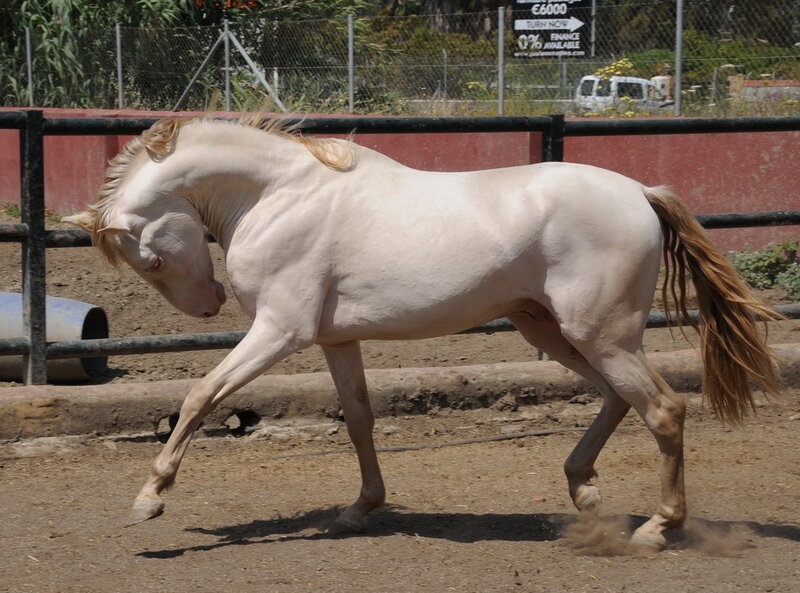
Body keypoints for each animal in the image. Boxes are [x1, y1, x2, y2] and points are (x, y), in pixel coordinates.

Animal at [64, 117, 781, 550]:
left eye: (151, 260)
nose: (210, 306)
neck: (280, 195)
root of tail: (639, 191)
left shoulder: (280, 331)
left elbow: (200, 395)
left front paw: (149, 498)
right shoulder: (334, 340)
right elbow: (359, 420)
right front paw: (360, 509)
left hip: (599, 332)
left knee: (662, 408)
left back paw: (657, 528)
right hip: (554, 329)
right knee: (616, 397)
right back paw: (583, 487)